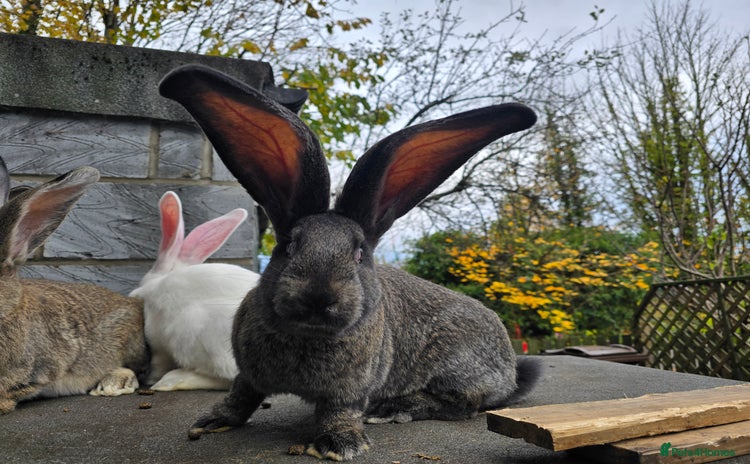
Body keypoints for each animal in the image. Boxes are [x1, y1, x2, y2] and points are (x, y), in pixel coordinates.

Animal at [159, 64, 541, 461]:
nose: (318, 297)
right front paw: (211, 421)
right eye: (289, 246)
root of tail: (509, 372)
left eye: (360, 253)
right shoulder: (248, 374)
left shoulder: (351, 388)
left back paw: (395, 408)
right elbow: (241, 396)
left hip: (457, 366)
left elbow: (340, 410)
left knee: (464, 405)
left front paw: (339, 444)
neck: (308, 336)